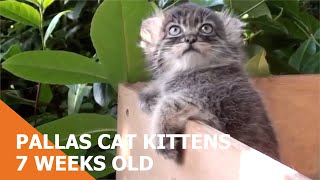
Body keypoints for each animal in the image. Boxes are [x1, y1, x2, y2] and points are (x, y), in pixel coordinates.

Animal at [139, 2, 278, 163]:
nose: (190, 38)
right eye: (174, 29)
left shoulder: (211, 105)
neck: (191, 70)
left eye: (206, 28)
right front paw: (149, 94)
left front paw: (162, 138)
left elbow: (167, 104)